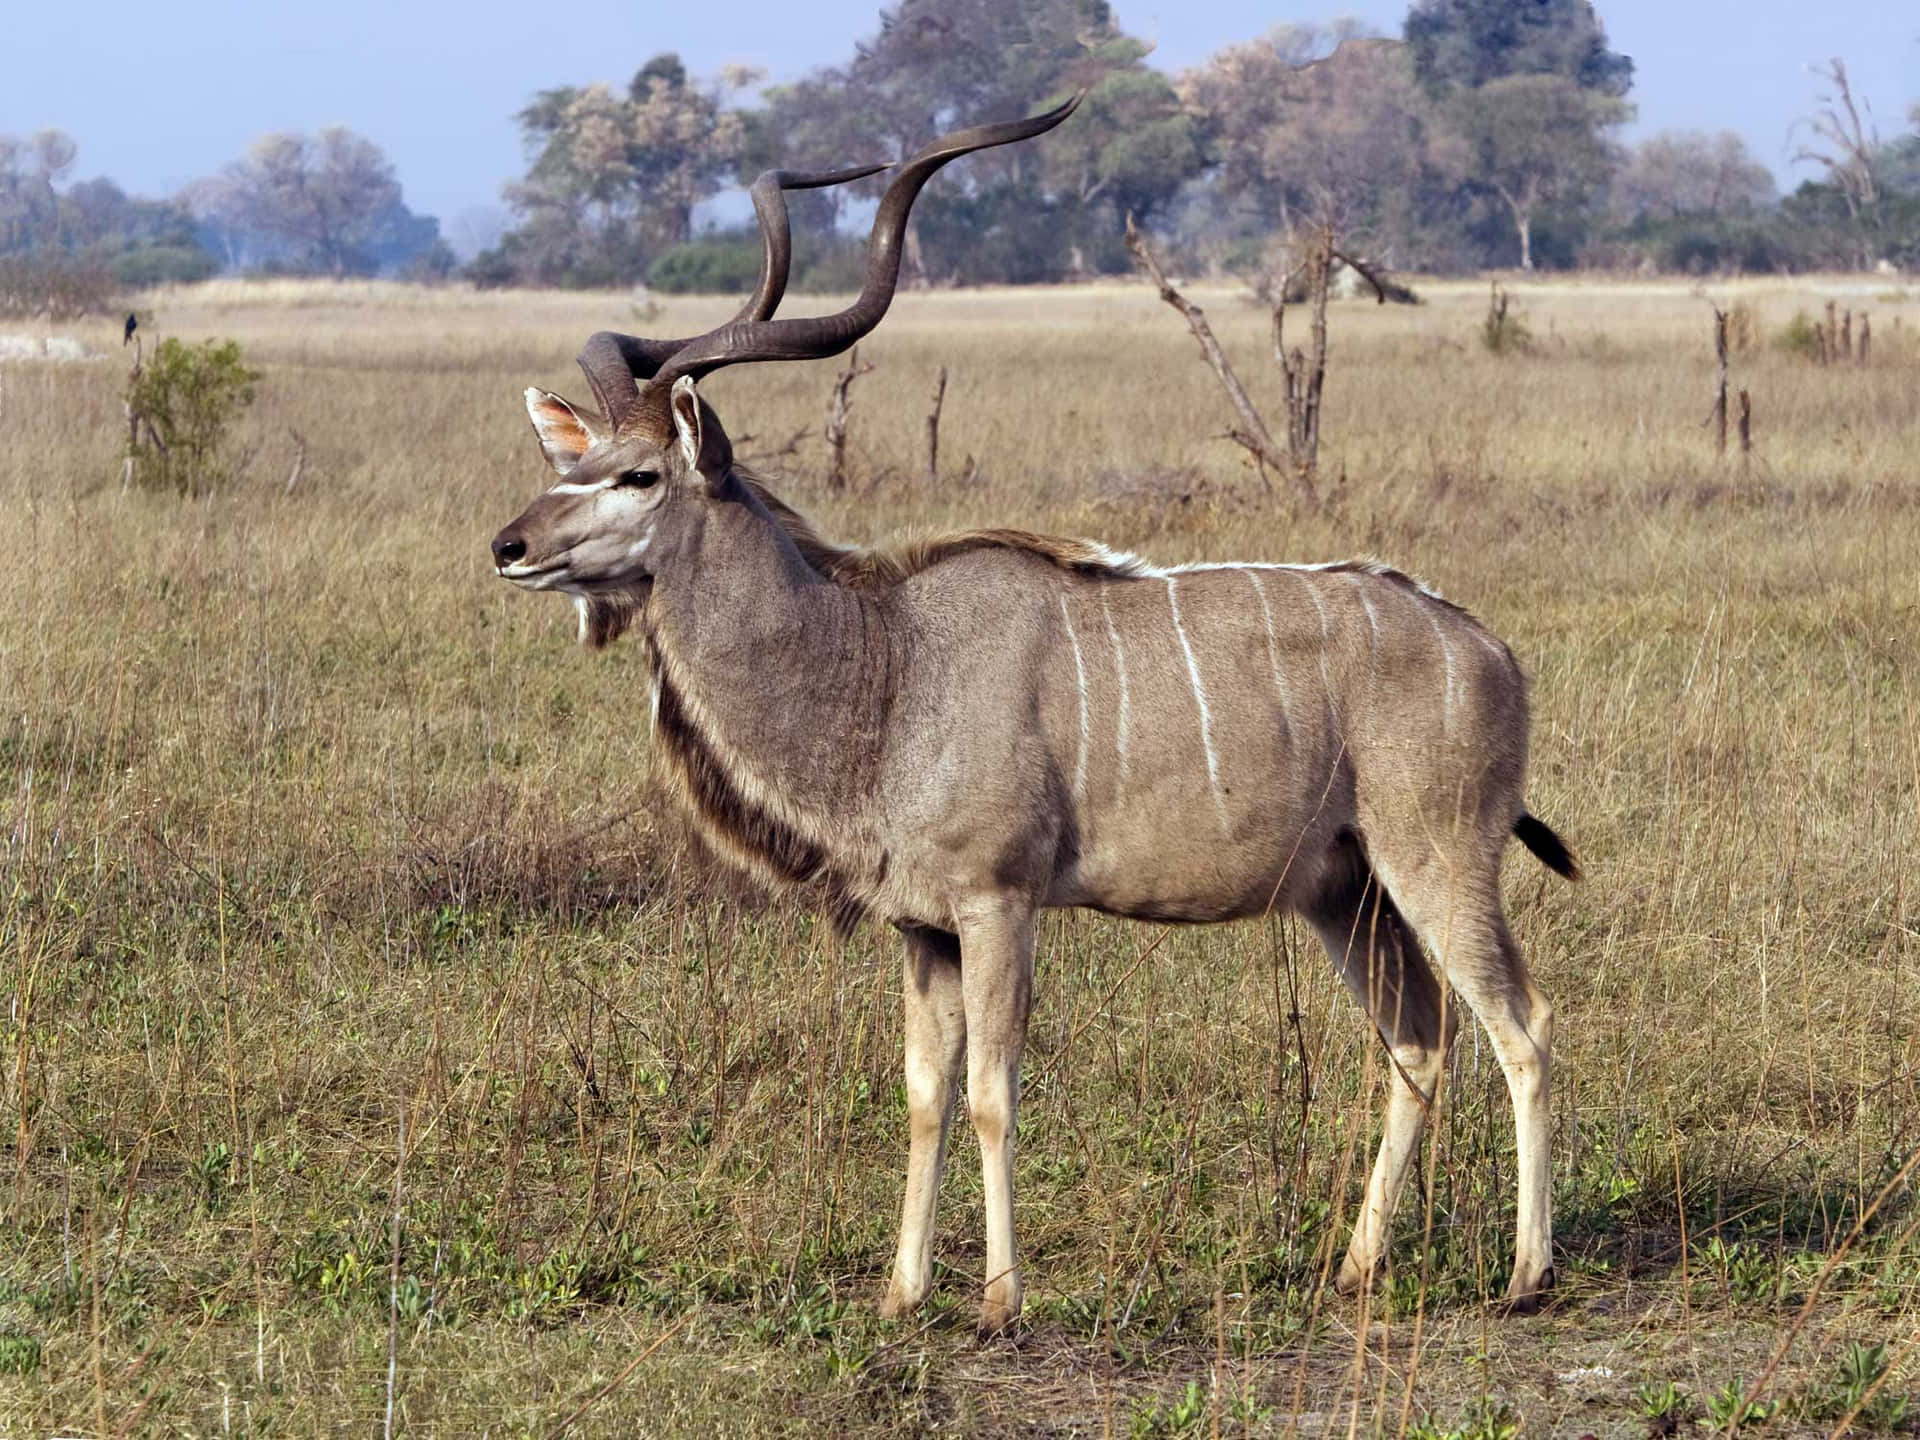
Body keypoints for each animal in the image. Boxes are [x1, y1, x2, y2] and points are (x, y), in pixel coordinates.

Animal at [491, 101, 1574, 1336]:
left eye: (637, 476)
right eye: (573, 459)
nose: (509, 546)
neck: (888, 666)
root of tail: (1485, 647)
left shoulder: (998, 903)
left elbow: (990, 1092)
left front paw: (1002, 1300)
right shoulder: (920, 930)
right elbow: (923, 1094)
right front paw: (902, 1292)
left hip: (1438, 857)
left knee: (1522, 1026)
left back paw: (1528, 1274)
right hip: (1344, 890)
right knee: (1418, 1038)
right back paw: (1353, 1269)